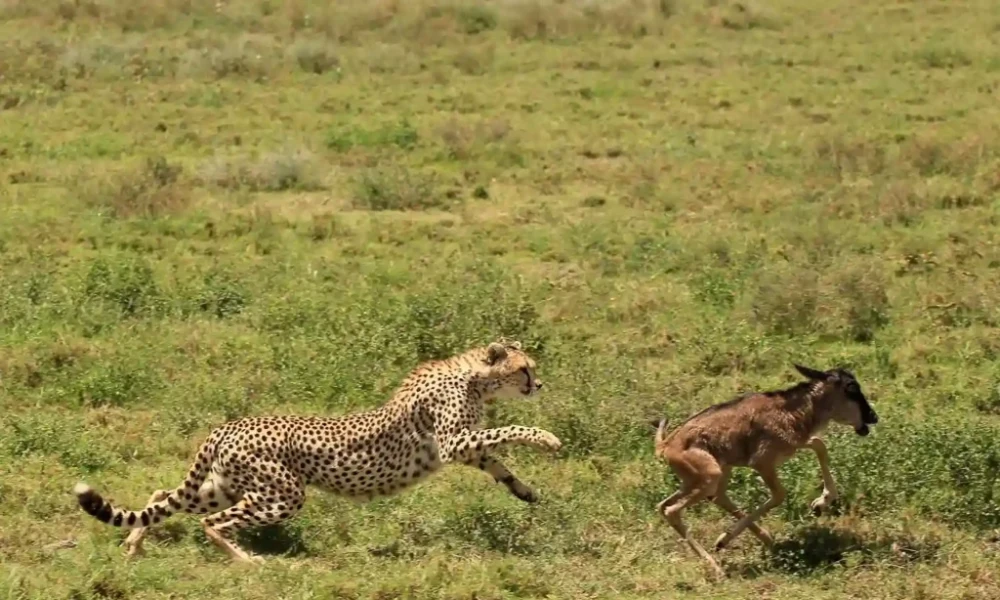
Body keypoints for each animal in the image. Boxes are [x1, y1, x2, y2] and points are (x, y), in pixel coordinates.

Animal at [73, 339, 561, 564]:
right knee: (213, 523)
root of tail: (227, 425)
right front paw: (548, 439)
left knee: (162, 497)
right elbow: (508, 430)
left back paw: (133, 545)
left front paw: (526, 492)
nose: (539, 384)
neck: (473, 377)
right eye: (525, 369)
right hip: (282, 493)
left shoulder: (464, 447)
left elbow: (497, 461)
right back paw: (248, 563)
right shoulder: (451, 442)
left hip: (224, 486)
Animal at [652, 364, 879, 578]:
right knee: (673, 509)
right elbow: (779, 494)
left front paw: (821, 502)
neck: (794, 410)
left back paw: (763, 539)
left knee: (672, 503)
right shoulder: (762, 462)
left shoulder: (795, 445)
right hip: (711, 474)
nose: (873, 417)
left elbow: (819, 445)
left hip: (708, 476)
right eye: (851, 388)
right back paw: (718, 566)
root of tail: (665, 447)